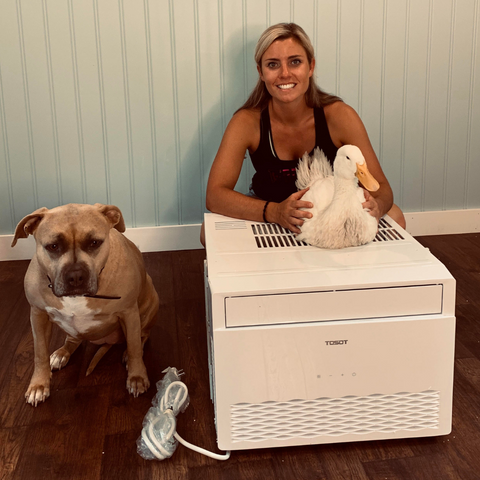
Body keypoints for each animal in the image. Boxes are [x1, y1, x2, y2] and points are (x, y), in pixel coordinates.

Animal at [11, 202, 159, 404]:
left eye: (94, 243)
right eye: (53, 246)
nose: (75, 276)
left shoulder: (129, 313)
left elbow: (135, 346)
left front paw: (137, 377)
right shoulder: (37, 314)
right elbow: (39, 352)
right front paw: (39, 385)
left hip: (149, 302)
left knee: (141, 336)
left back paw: (128, 354)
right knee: (73, 339)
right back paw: (61, 353)